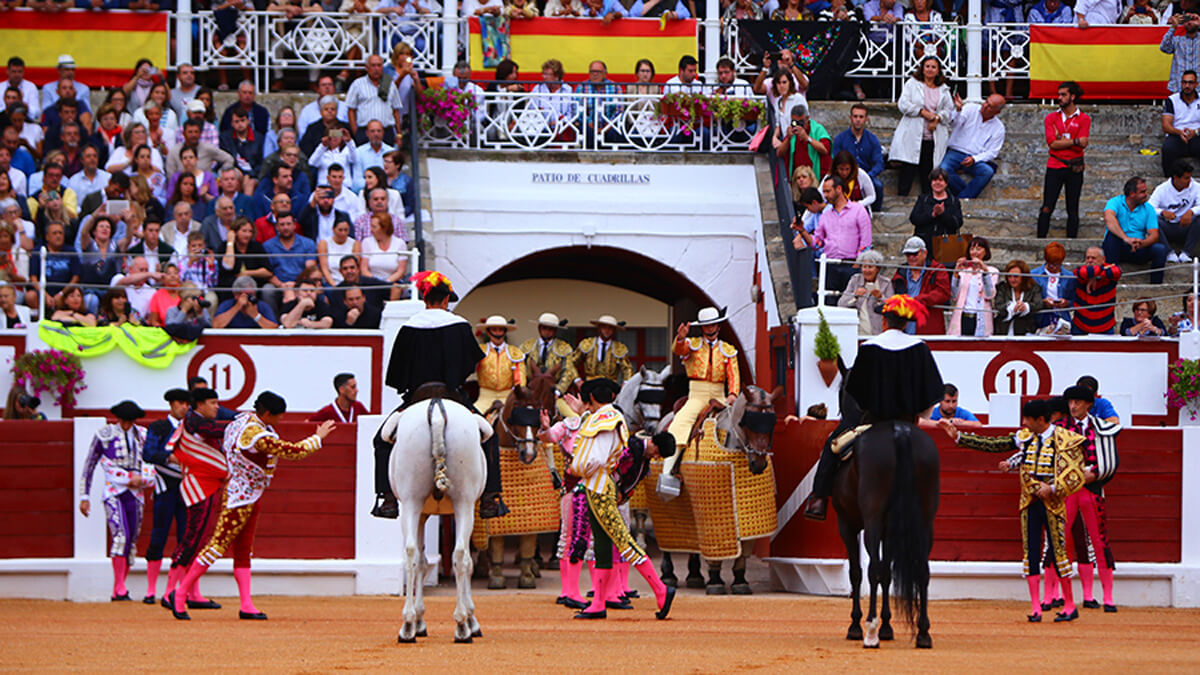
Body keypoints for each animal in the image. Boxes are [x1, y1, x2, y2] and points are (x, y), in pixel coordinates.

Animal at [381, 393, 489, 638]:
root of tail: (437, 409)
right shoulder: (464, 509)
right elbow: (467, 561)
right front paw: (472, 620)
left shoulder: (422, 513)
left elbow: (421, 561)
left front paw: (419, 620)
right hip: (463, 503)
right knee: (460, 555)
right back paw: (462, 626)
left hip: (411, 502)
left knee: (410, 553)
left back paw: (407, 626)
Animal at [835, 357, 936, 648]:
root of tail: (898, 431)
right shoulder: (890, 528)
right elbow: (888, 573)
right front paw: (889, 626)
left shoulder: (847, 523)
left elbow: (858, 572)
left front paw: (857, 625)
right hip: (924, 520)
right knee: (922, 570)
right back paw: (923, 633)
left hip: (871, 519)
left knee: (872, 568)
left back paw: (869, 631)